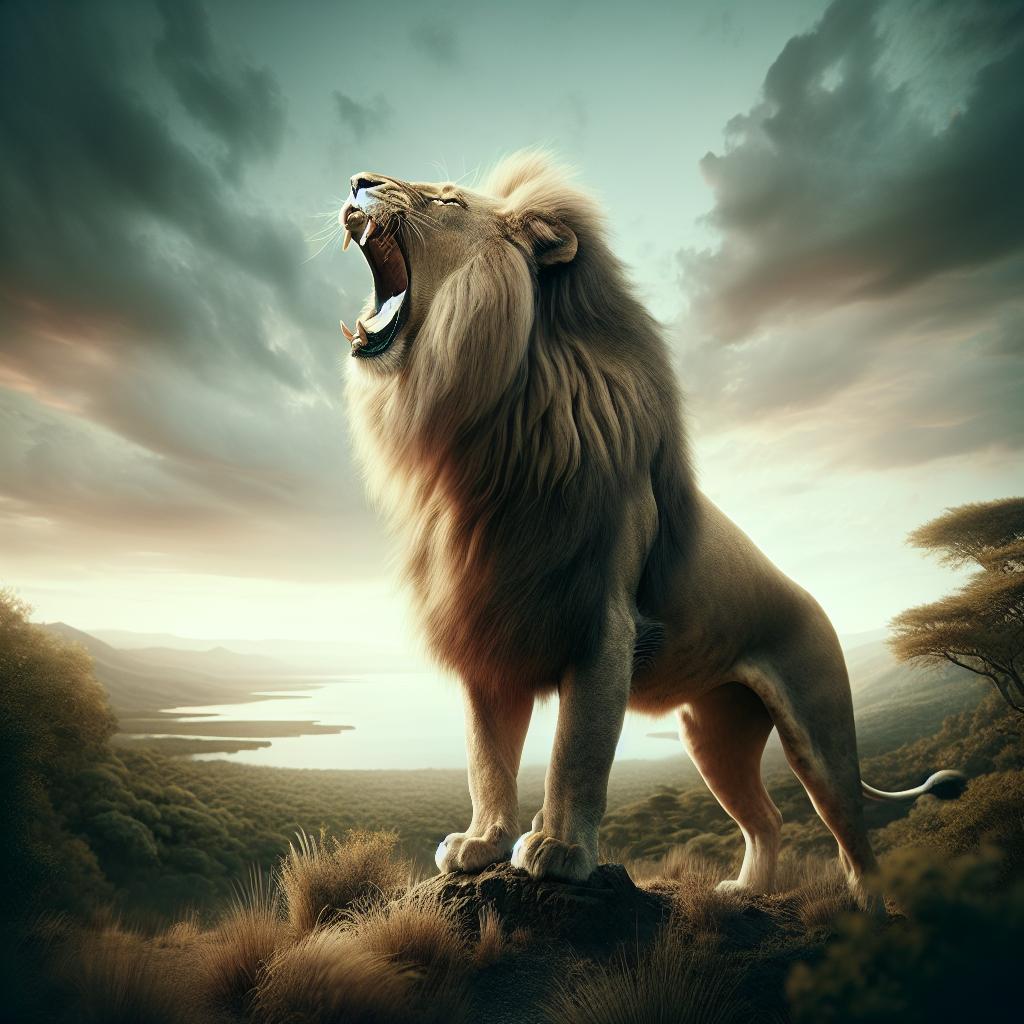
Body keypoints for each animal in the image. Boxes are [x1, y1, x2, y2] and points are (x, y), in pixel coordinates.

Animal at [339, 152, 963, 906]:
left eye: (449, 201)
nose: (359, 181)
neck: (489, 428)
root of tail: (815, 603)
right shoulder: (490, 628)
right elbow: (486, 757)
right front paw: (481, 844)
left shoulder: (603, 626)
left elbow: (574, 753)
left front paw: (557, 851)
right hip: (714, 736)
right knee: (768, 818)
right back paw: (742, 893)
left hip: (821, 733)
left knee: (852, 835)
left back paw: (870, 908)